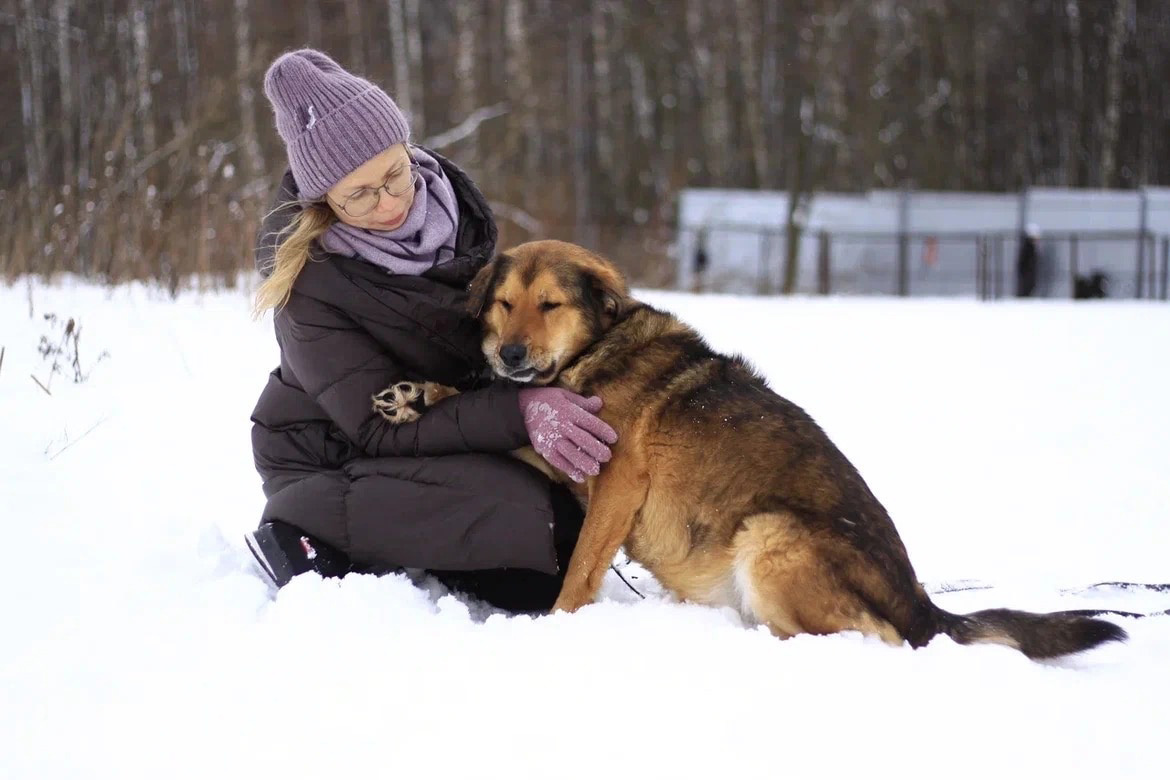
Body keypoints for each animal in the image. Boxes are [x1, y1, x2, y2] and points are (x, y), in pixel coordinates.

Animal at [374, 239, 1126, 659]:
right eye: (504, 302)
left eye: (551, 304)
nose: (509, 355)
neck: (596, 351)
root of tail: (919, 603)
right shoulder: (571, 453)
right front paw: (418, 396)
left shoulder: (615, 482)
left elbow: (580, 570)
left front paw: (556, 629)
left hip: (770, 535)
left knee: (868, 638)